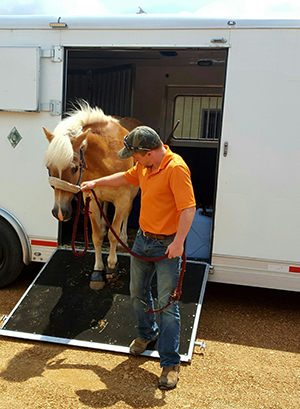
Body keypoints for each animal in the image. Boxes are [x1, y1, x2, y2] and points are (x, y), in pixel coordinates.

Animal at [43, 105, 141, 290]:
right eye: (48, 168)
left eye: (74, 168)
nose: (60, 212)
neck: (107, 158)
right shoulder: (91, 198)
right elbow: (96, 236)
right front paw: (98, 270)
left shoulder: (122, 199)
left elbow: (113, 234)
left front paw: (111, 267)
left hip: (132, 195)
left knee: (127, 215)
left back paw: (124, 239)